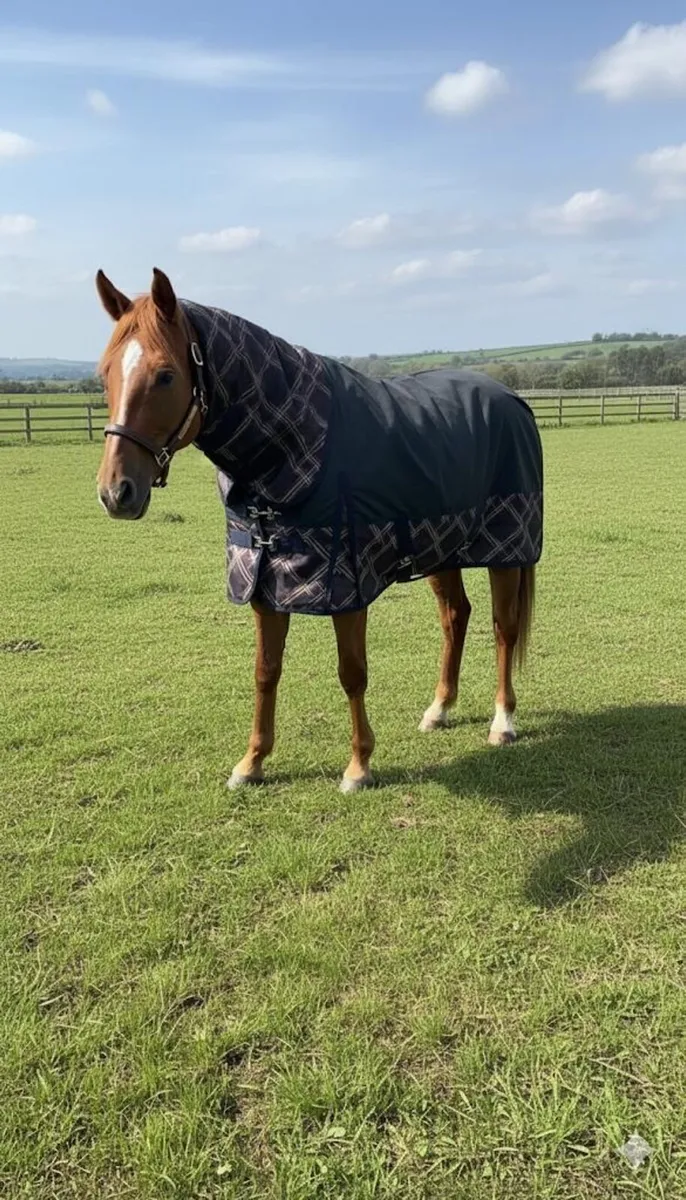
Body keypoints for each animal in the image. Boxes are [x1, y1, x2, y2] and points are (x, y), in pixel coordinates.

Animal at [95, 268, 543, 793]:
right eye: (105, 373)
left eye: (166, 375)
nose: (115, 492)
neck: (293, 445)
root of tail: (512, 401)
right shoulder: (264, 583)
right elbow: (266, 671)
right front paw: (252, 762)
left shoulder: (345, 587)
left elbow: (352, 673)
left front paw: (359, 765)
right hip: (442, 548)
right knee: (455, 617)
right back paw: (439, 709)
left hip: (508, 549)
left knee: (503, 627)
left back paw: (503, 721)